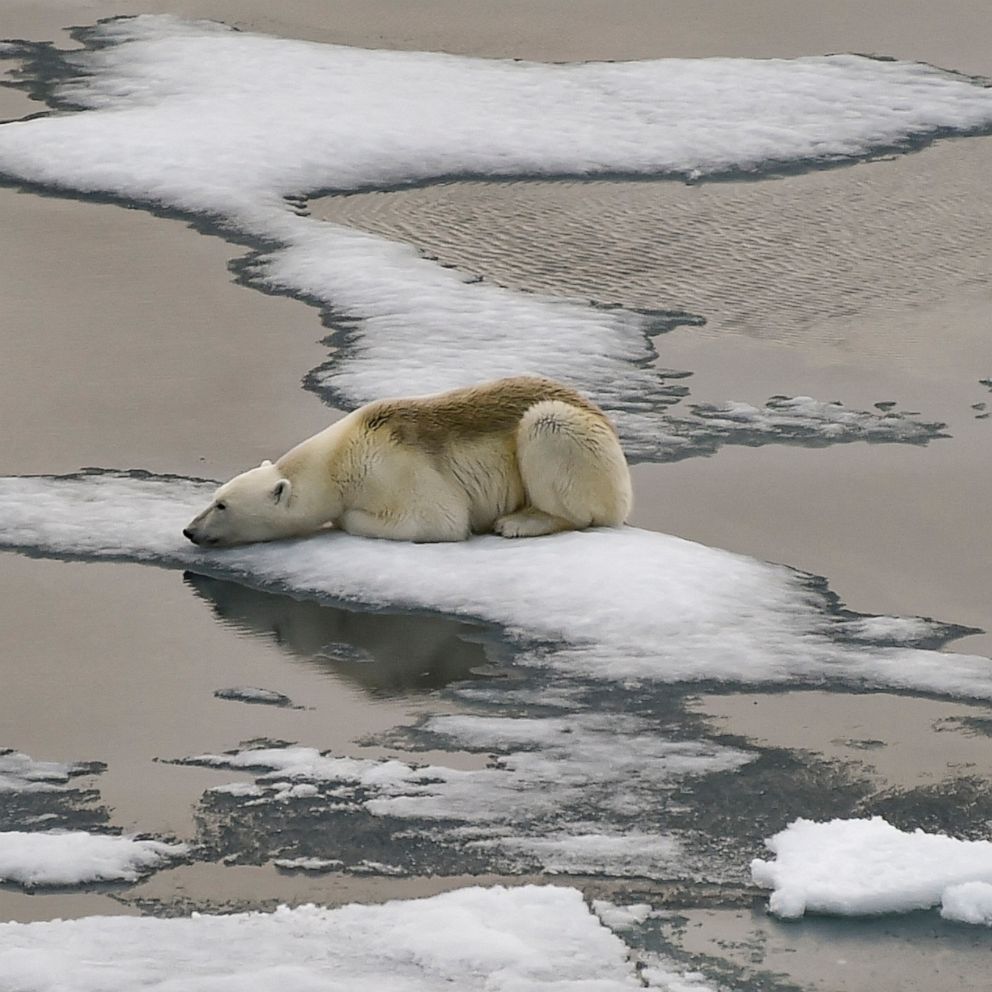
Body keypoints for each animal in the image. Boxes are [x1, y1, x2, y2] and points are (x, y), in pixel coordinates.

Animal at [182, 376, 632, 548]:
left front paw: (345, 519)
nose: (189, 530)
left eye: (222, 505)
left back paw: (521, 521)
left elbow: (438, 519)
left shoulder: (393, 466)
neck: (340, 456)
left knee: (548, 429)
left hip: (579, 441)